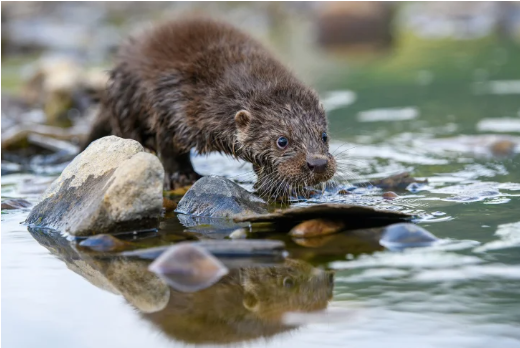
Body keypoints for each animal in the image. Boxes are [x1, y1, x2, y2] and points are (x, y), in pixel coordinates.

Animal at [84, 18, 338, 198]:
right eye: (282, 141)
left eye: (324, 136)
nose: (318, 163)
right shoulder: (171, 105)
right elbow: (169, 148)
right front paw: (181, 176)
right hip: (126, 100)